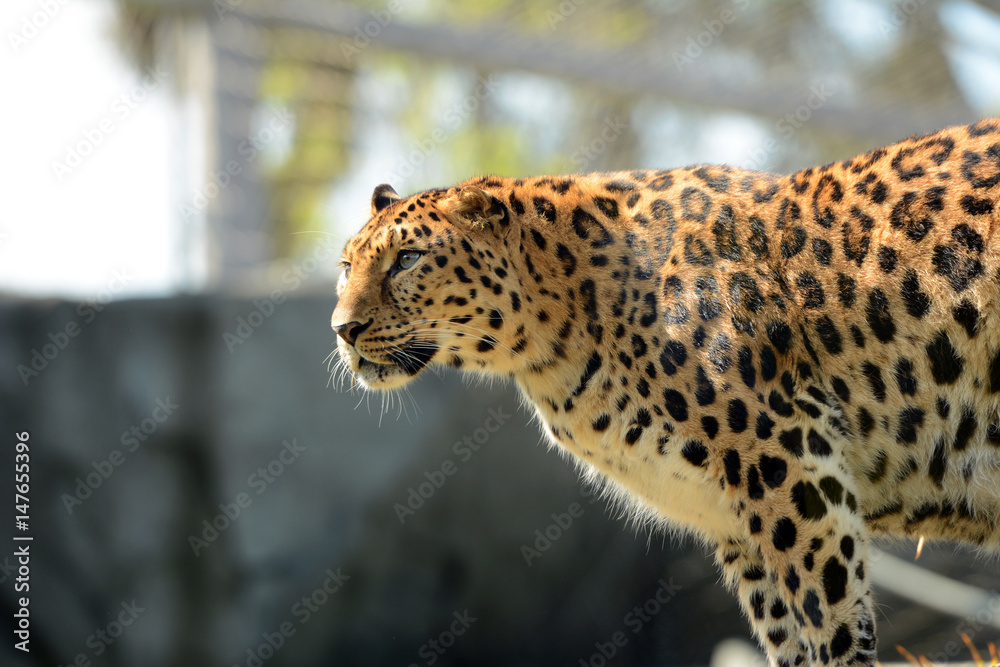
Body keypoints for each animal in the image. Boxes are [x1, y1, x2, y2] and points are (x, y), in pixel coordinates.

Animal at [330, 118, 1000, 667]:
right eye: (345, 266)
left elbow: (830, 625)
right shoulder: (735, 522)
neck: (551, 341)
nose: (342, 328)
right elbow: (788, 635)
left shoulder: (793, 468)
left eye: (408, 259)